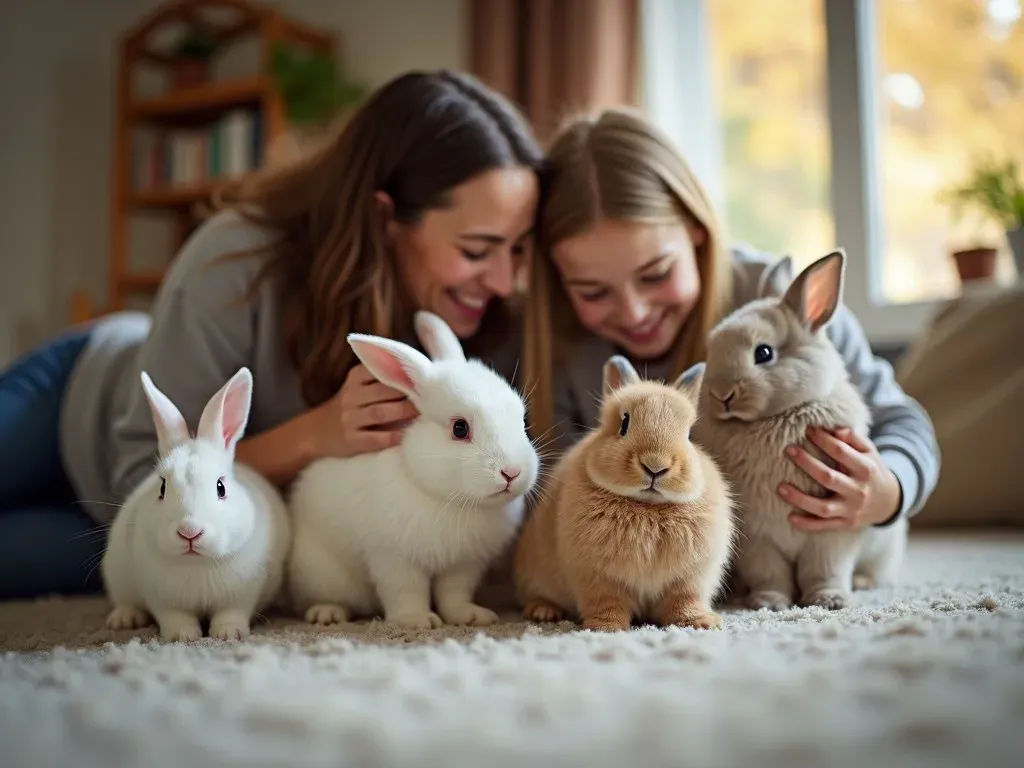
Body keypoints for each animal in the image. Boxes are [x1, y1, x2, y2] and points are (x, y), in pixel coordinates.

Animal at [100, 366, 290, 643]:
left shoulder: (242, 596)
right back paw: (124, 620)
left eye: (221, 487)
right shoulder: (162, 600)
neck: (197, 563)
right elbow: (176, 617)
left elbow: (231, 613)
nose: (189, 532)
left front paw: (228, 633)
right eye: (162, 487)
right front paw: (183, 636)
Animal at [286, 311, 540, 630]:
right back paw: (327, 614)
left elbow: (454, 594)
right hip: (321, 575)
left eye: (522, 421)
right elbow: (406, 592)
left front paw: (470, 616)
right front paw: (418, 621)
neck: (450, 500)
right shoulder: (394, 559)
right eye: (460, 428)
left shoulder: (463, 565)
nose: (512, 472)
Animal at [512, 354, 737, 630]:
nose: (655, 465)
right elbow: (607, 602)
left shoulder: (689, 578)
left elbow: (684, 600)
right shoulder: (598, 576)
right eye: (624, 423)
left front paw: (702, 622)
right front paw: (606, 627)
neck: (648, 506)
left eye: (688, 434)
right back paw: (543, 612)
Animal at [692, 250, 909, 614]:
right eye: (710, 351)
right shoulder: (759, 540)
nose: (721, 395)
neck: (777, 417)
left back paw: (862, 583)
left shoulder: (831, 534)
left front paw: (829, 600)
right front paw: (768, 603)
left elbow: (824, 570)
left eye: (763, 352)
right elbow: (770, 574)